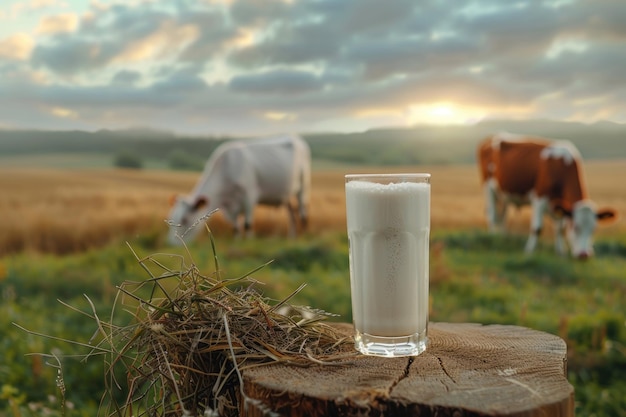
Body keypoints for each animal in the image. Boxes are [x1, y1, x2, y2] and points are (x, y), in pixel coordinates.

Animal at [167, 133, 310, 244]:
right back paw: (292, 237)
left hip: (303, 185)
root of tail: (295, 137)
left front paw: (249, 242)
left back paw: (304, 236)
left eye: (184, 220)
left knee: (303, 212)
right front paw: (237, 242)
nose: (172, 243)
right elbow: (235, 226)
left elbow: (247, 224)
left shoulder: (249, 195)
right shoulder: (229, 207)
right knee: (292, 214)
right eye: (172, 217)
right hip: (286, 193)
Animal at [478, 132, 616, 258]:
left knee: (502, 217)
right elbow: (537, 228)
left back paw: (503, 238)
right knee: (492, 215)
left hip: (503, 194)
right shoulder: (540, 198)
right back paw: (493, 238)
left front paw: (561, 252)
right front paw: (529, 251)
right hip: (488, 187)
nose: (584, 255)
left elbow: (560, 228)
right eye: (576, 227)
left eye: (594, 229)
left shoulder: (560, 205)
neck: (562, 167)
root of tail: (491, 137)